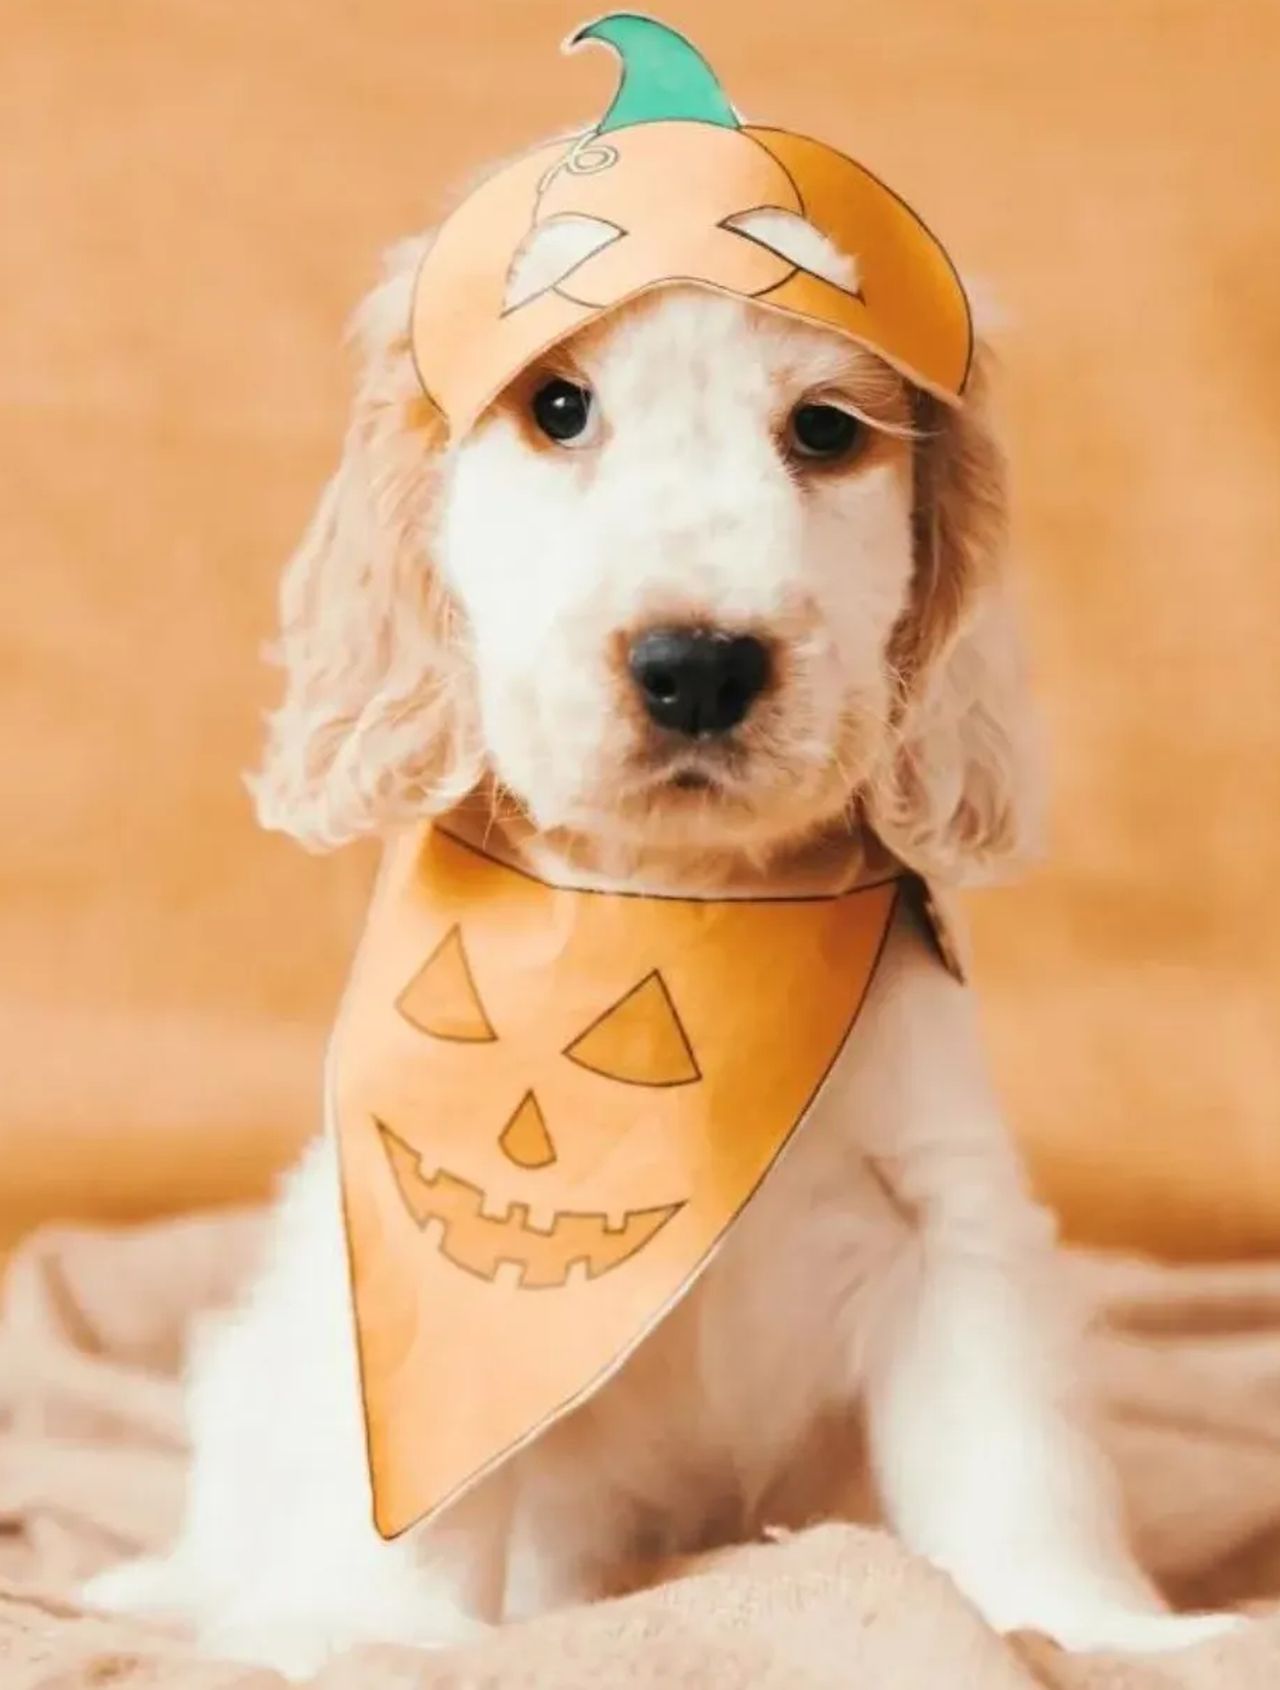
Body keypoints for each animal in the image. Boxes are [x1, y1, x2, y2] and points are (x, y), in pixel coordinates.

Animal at [82, 228, 1237, 1676]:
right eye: (557, 407)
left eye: (825, 427)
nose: (698, 664)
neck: (687, 904)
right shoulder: (411, 1238)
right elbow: (418, 1453)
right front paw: (366, 1628)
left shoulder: (947, 1215)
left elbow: (1007, 1445)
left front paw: (1090, 1621)